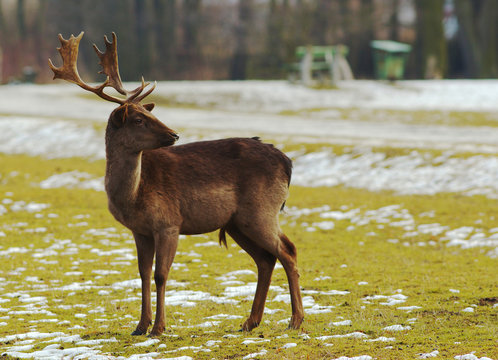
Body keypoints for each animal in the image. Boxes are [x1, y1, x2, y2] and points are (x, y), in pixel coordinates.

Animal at [49, 31, 304, 338]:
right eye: (138, 119)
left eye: (149, 114)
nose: (174, 134)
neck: (133, 195)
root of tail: (287, 163)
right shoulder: (140, 230)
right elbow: (142, 273)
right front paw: (140, 326)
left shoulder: (169, 222)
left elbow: (161, 274)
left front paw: (158, 327)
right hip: (237, 222)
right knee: (265, 259)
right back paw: (250, 321)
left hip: (261, 210)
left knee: (288, 250)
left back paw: (295, 320)